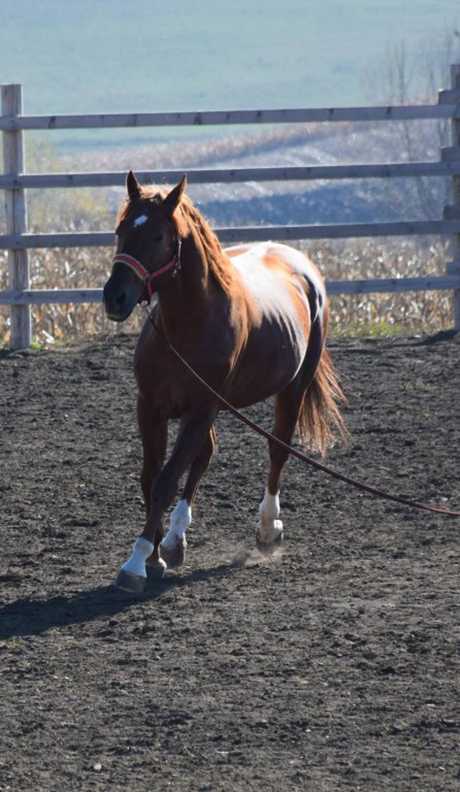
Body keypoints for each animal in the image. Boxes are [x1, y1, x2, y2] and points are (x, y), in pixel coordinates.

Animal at [101, 175, 344, 592]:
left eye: (158, 236)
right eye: (120, 231)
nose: (114, 297)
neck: (185, 326)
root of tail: (302, 266)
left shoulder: (200, 410)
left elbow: (166, 481)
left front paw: (136, 563)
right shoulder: (151, 408)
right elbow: (150, 479)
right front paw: (156, 555)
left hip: (292, 388)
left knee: (276, 452)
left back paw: (267, 530)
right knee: (206, 455)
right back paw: (176, 539)